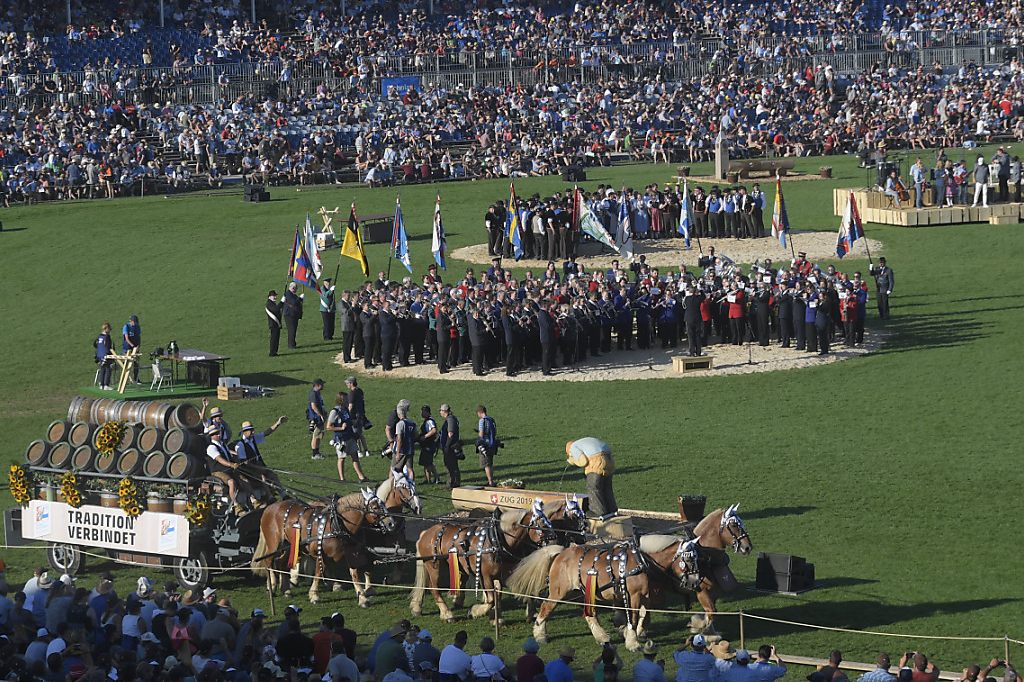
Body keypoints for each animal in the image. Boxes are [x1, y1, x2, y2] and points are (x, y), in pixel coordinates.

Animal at [253, 485, 397, 602]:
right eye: (375, 507)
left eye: (383, 504)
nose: (391, 523)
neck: (337, 525)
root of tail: (269, 508)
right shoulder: (319, 554)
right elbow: (317, 574)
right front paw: (314, 595)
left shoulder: (350, 553)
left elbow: (354, 574)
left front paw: (362, 597)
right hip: (274, 544)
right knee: (269, 562)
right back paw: (271, 586)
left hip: (290, 547)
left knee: (281, 563)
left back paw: (286, 590)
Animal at [407, 493, 585, 622]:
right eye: (540, 524)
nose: (583, 539)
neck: (498, 539)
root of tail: (427, 532)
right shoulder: (486, 575)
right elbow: (493, 598)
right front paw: (477, 611)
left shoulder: (506, 572)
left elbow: (506, 593)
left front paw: (498, 617)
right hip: (434, 565)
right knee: (434, 588)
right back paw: (446, 613)